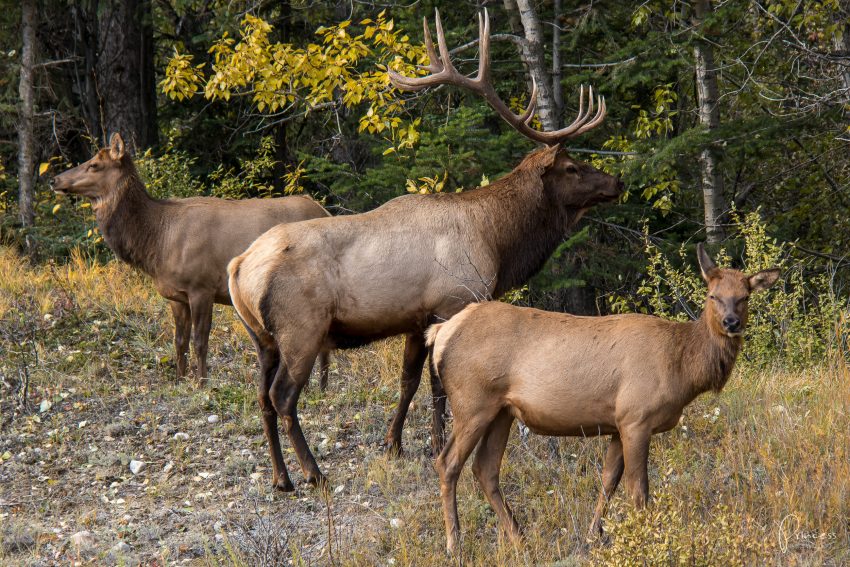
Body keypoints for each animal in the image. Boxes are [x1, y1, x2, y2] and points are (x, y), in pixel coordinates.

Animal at [50, 134, 332, 386]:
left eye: (94, 164)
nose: (54, 179)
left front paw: (202, 382)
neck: (156, 242)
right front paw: (179, 379)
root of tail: (323, 209)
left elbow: (200, 341)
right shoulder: (177, 295)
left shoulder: (201, 287)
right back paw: (320, 386)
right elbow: (179, 341)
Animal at [225, 6, 624, 490]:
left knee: (261, 396)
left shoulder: (416, 318)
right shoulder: (451, 302)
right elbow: (437, 386)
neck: (497, 241)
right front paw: (434, 444)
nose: (617, 181)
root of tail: (238, 267)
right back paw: (311, 472)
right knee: (282, 396)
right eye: (571, 167)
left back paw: (281, 477)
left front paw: (393, 444)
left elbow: (408, 381)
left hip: (260, 336)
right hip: (300, 327)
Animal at [422, 244, 776, 556]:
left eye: (744, 297)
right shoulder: (637, 417)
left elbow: (608, 480)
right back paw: (455, 545)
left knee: (484, 469)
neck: (682, 367)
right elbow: (638, 489)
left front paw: (594, 535)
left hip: (502, 411)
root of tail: (440, 332)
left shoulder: (618, 423)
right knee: (447, 462)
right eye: (712, 295)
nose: (731, 322)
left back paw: (520, 537)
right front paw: (649, 540)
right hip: (472, 402)